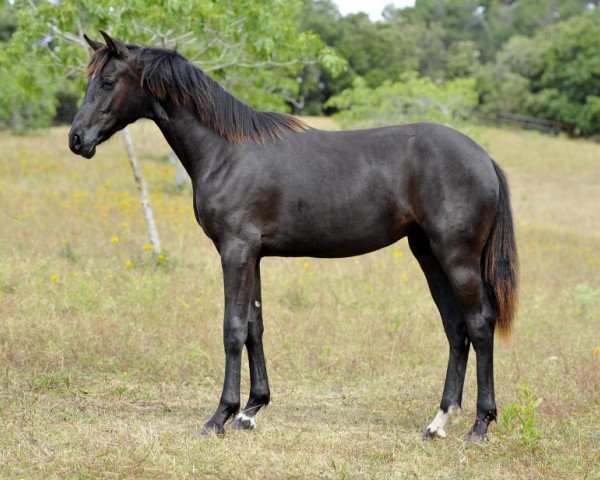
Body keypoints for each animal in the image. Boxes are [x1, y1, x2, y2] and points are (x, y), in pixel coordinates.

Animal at [70, 31, 516, 440]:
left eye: (107, 81)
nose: (77, 139)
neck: (226, 152)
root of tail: (483, 158)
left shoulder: (235, 250)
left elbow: (233, 329)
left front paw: (220, 416)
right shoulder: (253, 255)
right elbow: (254, 327)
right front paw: (251, 410)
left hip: (456, 257)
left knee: (479, 324)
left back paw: (480, 424)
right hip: (429, 254)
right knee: (455, 329)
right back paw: (439, 422)